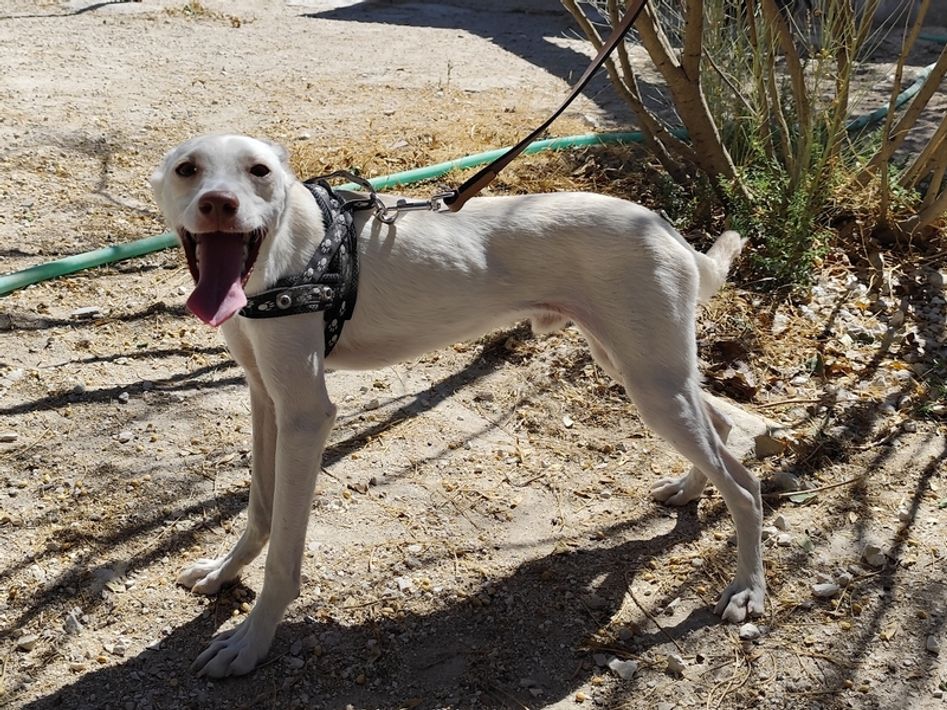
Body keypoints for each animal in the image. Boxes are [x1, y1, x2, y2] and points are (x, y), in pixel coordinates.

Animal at [150, 134, 765, 678]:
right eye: (188, 169)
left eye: (259, 170)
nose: (219, 204)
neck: (283, 255)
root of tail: (669, 231)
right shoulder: (265, 399)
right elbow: (259, 511)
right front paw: (223, 573)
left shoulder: (305, 415)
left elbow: (284, 555)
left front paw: (249, 643)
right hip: (639, 367)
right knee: (719, 423)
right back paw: (688, 489)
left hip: (650, 383)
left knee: (745, 484)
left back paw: (747, 590)